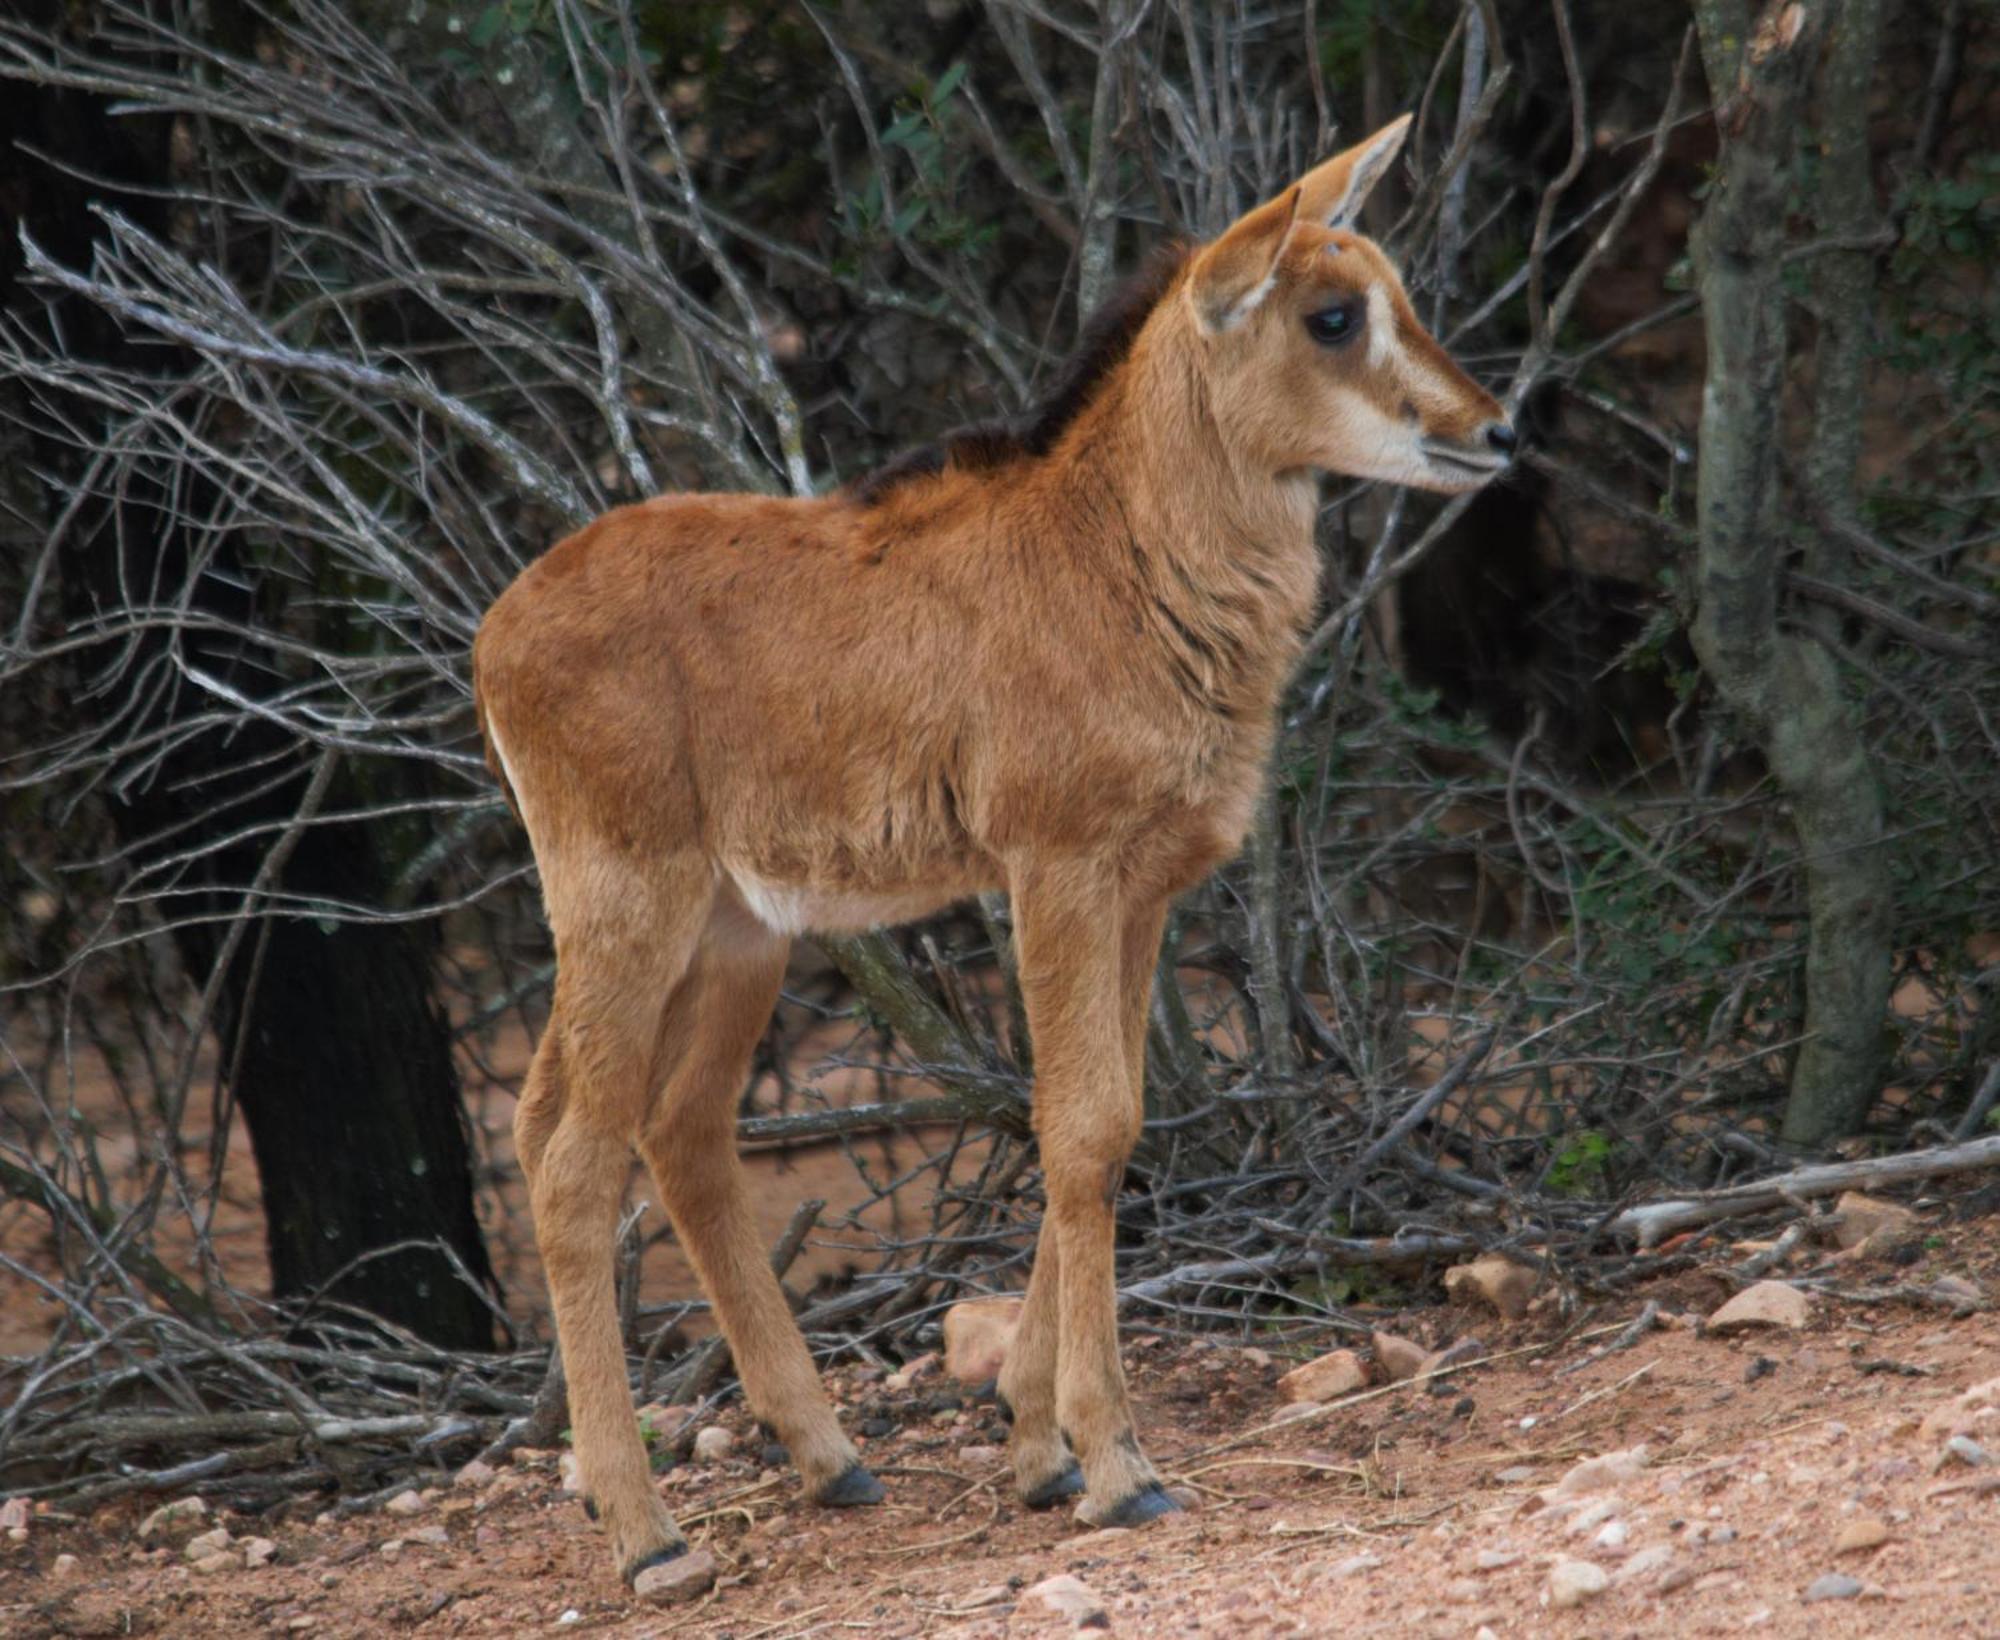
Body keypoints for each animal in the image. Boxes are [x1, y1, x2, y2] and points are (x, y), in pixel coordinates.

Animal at [476, 112, 1504, 1576]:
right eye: (1330, 313)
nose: (1491, 428)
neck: (1123, 554)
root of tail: (494, 636)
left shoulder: (1142, 889)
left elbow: (1115, 1121)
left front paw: (1034, 1449)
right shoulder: (1056, 866)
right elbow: (1078, 1129)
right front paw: (1117, 1465)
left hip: (737, 932)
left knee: (667, 1131)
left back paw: (828, 1458)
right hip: (628, 904)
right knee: (572, 1164)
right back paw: (648, 1531)